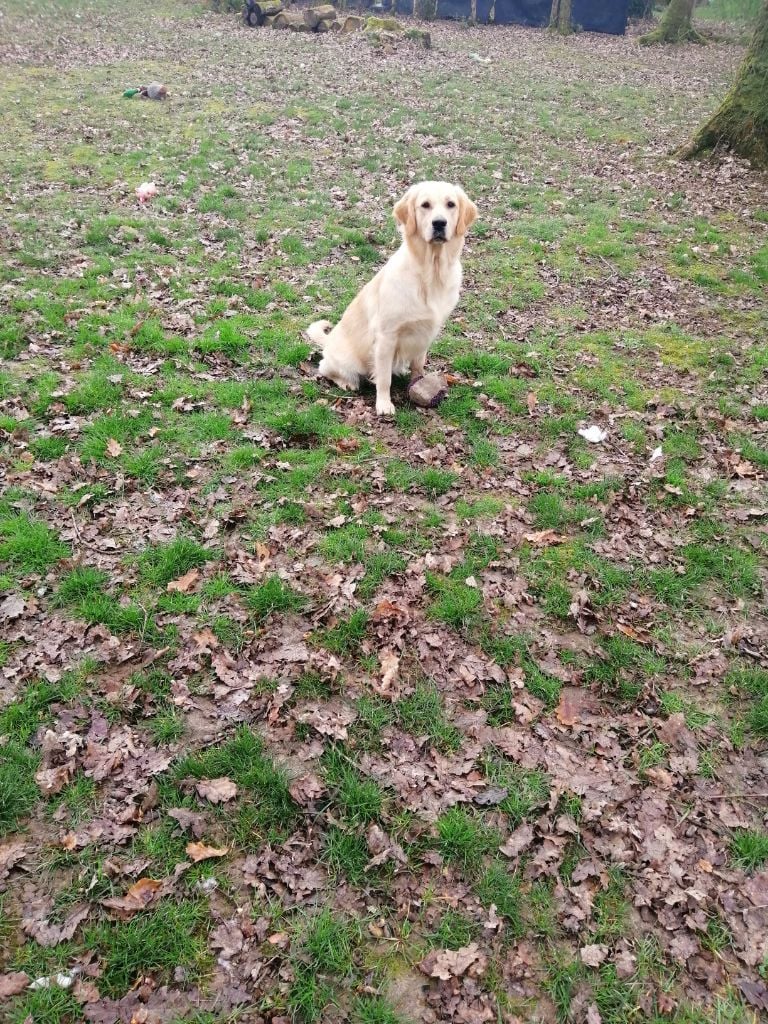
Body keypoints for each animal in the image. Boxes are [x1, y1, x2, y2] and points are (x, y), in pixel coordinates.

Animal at [305, 181, 475, 415]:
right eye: (425, 205)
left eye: (451, 204)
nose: (439, 223)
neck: (431, 272)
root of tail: (329, 340)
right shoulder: (387, 336)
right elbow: (384, 377)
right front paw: (384, 404)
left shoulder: (426, 333)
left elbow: (418, 365)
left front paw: (417, 384)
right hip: (346, 361)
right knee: (327, 369)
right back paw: (347, 382)